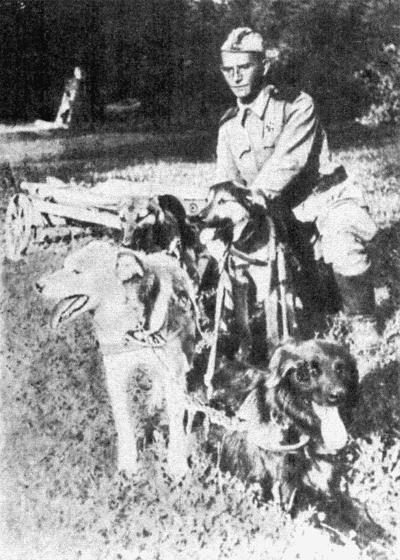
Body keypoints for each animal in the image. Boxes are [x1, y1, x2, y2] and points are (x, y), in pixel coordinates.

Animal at [35, 240, 198, 479]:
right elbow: (123, 424)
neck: (131, 327)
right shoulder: (116, 377)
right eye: (64, 266)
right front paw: (128, 464)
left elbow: (176, 422)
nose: (38, 285)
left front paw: (177, 465)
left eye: (76, 272)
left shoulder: (172, 373)